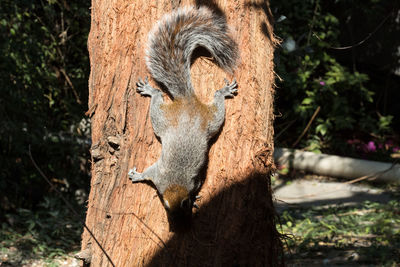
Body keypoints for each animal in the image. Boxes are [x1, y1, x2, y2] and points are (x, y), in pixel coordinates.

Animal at [128, 5, 238, 220]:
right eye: (165, 205)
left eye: (184, 204)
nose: (175, 220)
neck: (176, 183)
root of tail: (187, 101)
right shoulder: (159, 175)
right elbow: (148, 174)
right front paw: (137, 175)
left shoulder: (186, 180)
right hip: (177, 119)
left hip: (203, 120)